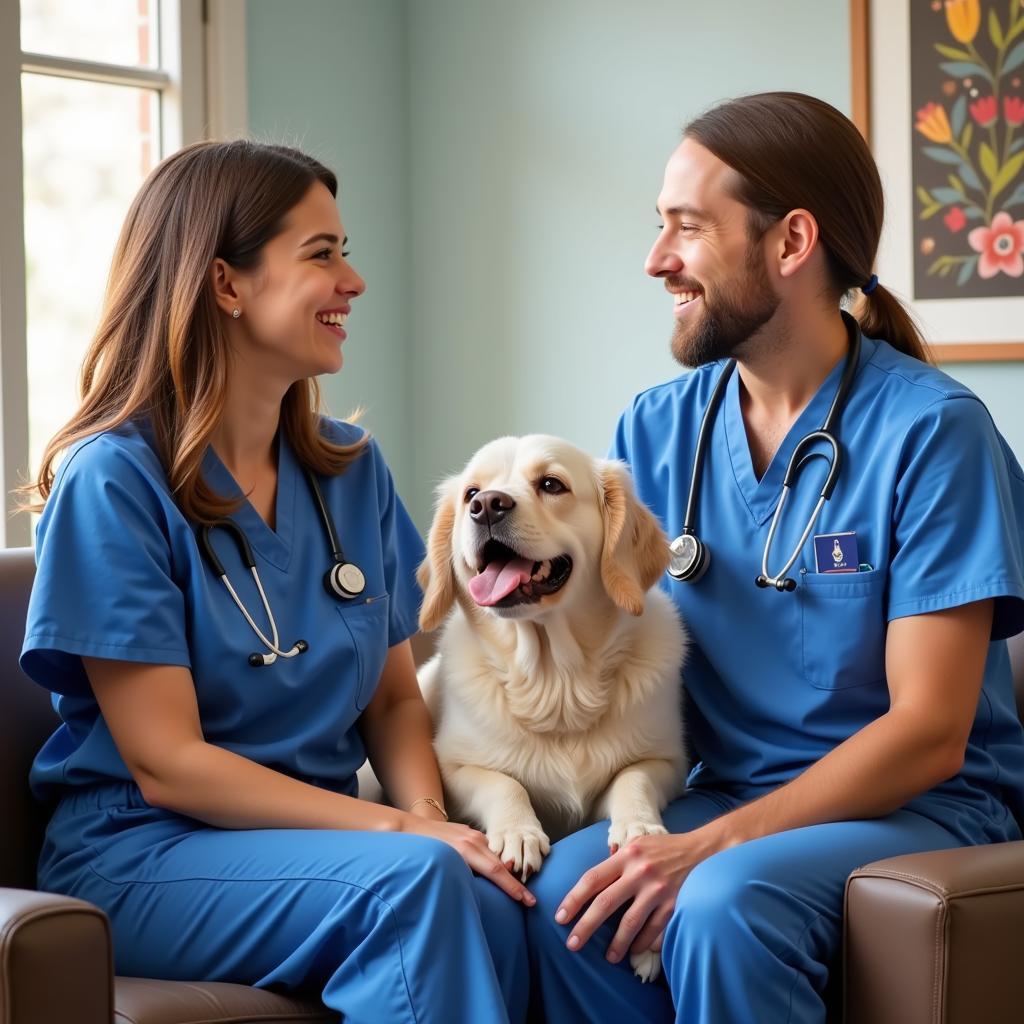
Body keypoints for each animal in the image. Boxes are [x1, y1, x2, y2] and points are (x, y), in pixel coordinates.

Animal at [415, 432, 688, 983]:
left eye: (551, 485)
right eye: (471, 491)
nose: (486, 505)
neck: (556, 684)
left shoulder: (668, 761)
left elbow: (633, 779)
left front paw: (638, 830)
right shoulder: (453, 768)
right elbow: (503, 782)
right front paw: (518, 834)